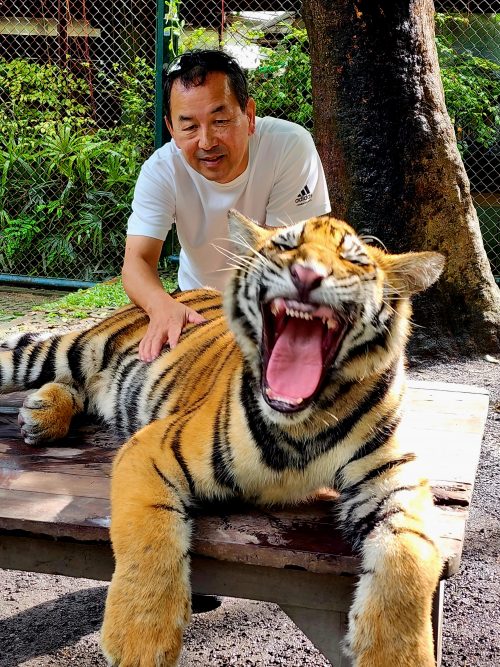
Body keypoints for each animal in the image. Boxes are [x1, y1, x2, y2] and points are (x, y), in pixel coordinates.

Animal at [0, 210, 445, 667]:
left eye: (351, 259)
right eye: (285, 246)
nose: (306, 274)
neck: (302, 424)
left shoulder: (391, 475)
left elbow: (410, 556)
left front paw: (398, 655)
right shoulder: (152, 447)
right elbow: (148, 535)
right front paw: (139, 639)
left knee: (78, 389)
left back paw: (40, 414)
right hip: (65, 351)